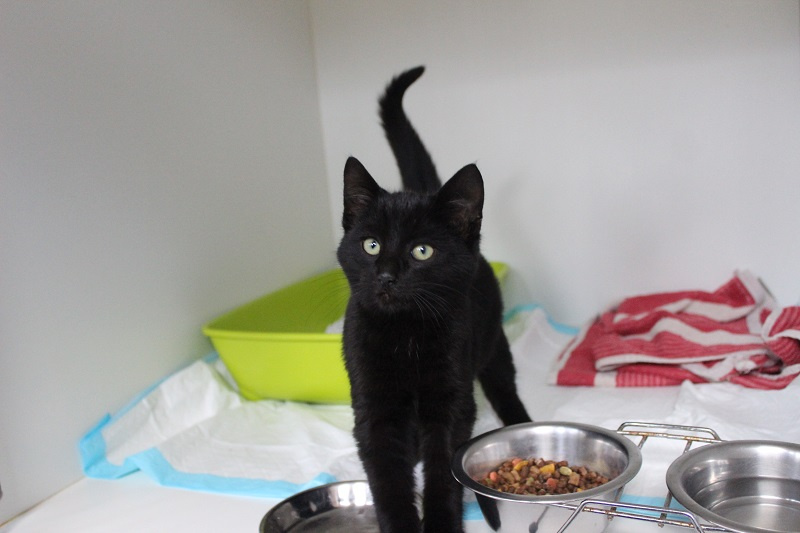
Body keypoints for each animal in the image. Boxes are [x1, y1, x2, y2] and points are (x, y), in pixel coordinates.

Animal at [336, 66, 531, 533]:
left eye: (421, 251)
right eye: (371, 245)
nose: (387, 276)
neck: (404, 334)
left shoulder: (451, 403)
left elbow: (444, 473)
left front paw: (442, 523)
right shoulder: (373, 407)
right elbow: (388, 480)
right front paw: (401, 524)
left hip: (492, 345)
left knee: (505, 389)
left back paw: (524, 425)